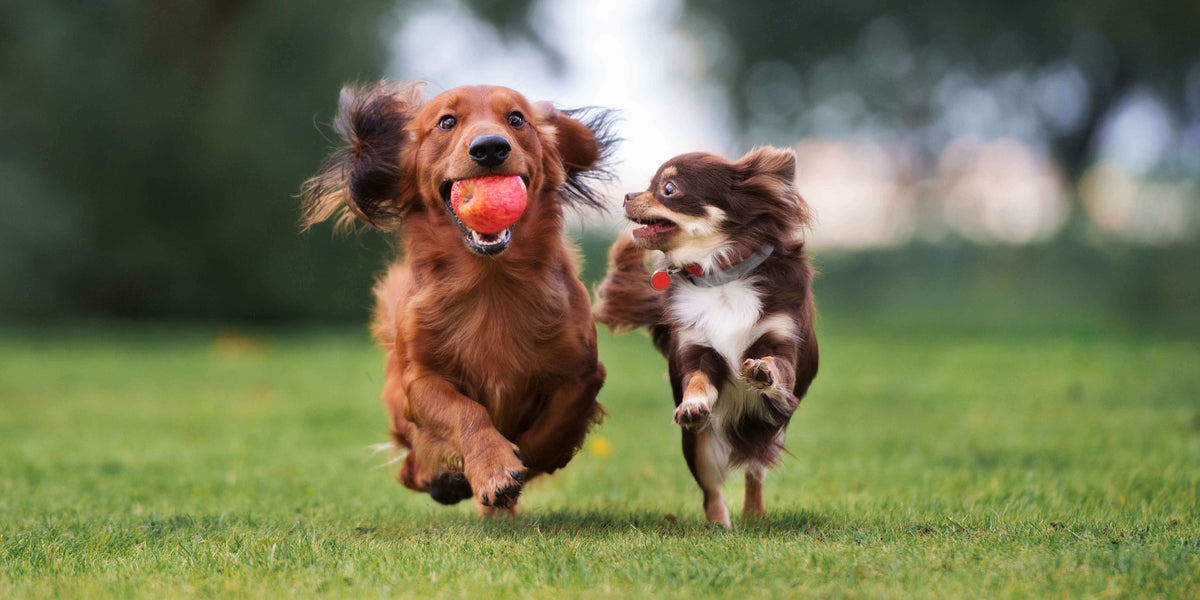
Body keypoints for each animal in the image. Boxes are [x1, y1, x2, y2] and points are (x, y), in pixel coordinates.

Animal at [304, 82, 614, 516]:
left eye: (516, 119)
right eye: (446, 122)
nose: (490, 148)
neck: (490, 282)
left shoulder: (582, 372)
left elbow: (551, 428)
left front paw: (518, 464)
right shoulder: (420, 380)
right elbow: (466, 412)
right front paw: (493, 468)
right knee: (411, 467)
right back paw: (444, 479)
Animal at [590, 147, 816, 528]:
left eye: (668, 189)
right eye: (649, 184)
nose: (627, 195)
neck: (719, 277)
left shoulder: (783, 342)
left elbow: (776, 364)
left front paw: (762, 371)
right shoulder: (697, 351)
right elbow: (697, 382)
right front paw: (693, 404)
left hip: (771, 428)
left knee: (755, 469)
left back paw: (754, 514)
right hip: (698, 446)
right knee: (712, 490)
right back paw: (718, 526)